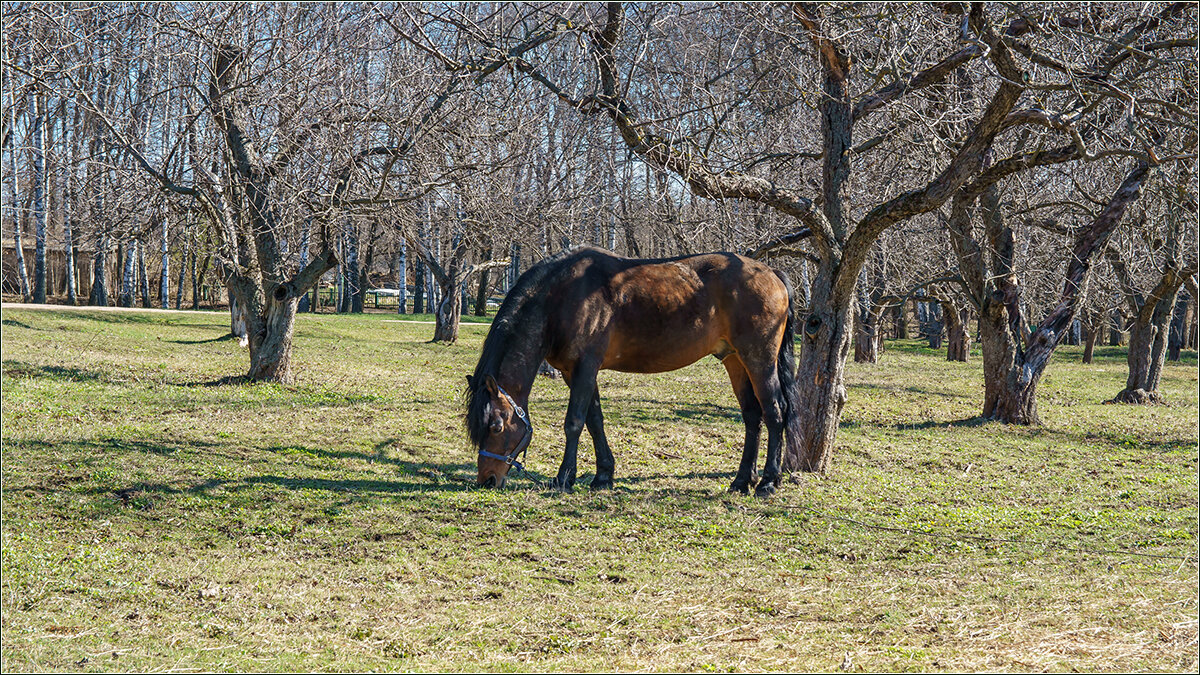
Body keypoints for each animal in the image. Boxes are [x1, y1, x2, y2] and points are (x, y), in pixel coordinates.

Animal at [463, 246, 801, 494]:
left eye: (496, 426)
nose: (487, 480)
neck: (561, 297)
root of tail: (771, 273)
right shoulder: (577, 373)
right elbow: (594, 421)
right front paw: (603, 476)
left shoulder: (585, 368)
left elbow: (574, 422)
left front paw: (563, 478)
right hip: (735, 361)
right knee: (752, 416)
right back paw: (742, 481)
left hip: (759, 359)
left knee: (774, 412)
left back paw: (768, 482)